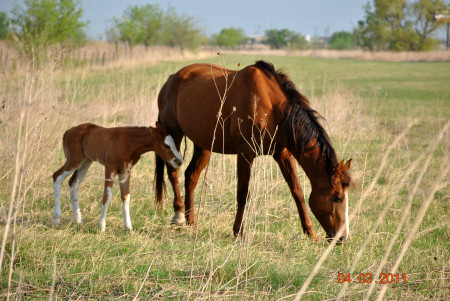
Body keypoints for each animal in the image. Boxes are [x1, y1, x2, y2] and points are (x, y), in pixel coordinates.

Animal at [53, 121, 184, 230]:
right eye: (166, 146)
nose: (179, 161)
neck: (128, 142)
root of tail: (68, 132)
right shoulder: (110, 167)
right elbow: (107, 196)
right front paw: (101, 226)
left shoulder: (125, 171)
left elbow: (126, 196)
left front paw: (128, 227)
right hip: (74, 160)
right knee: (57, 176)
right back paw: (56, 219)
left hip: (85, 162)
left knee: (74, 183)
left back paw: (78, 221)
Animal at [157, 59, 352, 240]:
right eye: (338, 197)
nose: (342, 237)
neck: (272, 108)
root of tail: (172, 79)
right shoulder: (246, 153)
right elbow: (243, 193)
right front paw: (238, 232)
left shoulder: (283, 154)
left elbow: (297, 191)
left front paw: (310, 232)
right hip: (174, 133)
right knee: (173, 171)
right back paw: (178, 216)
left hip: (204, 145)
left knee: (191, 176)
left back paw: (191, 221)